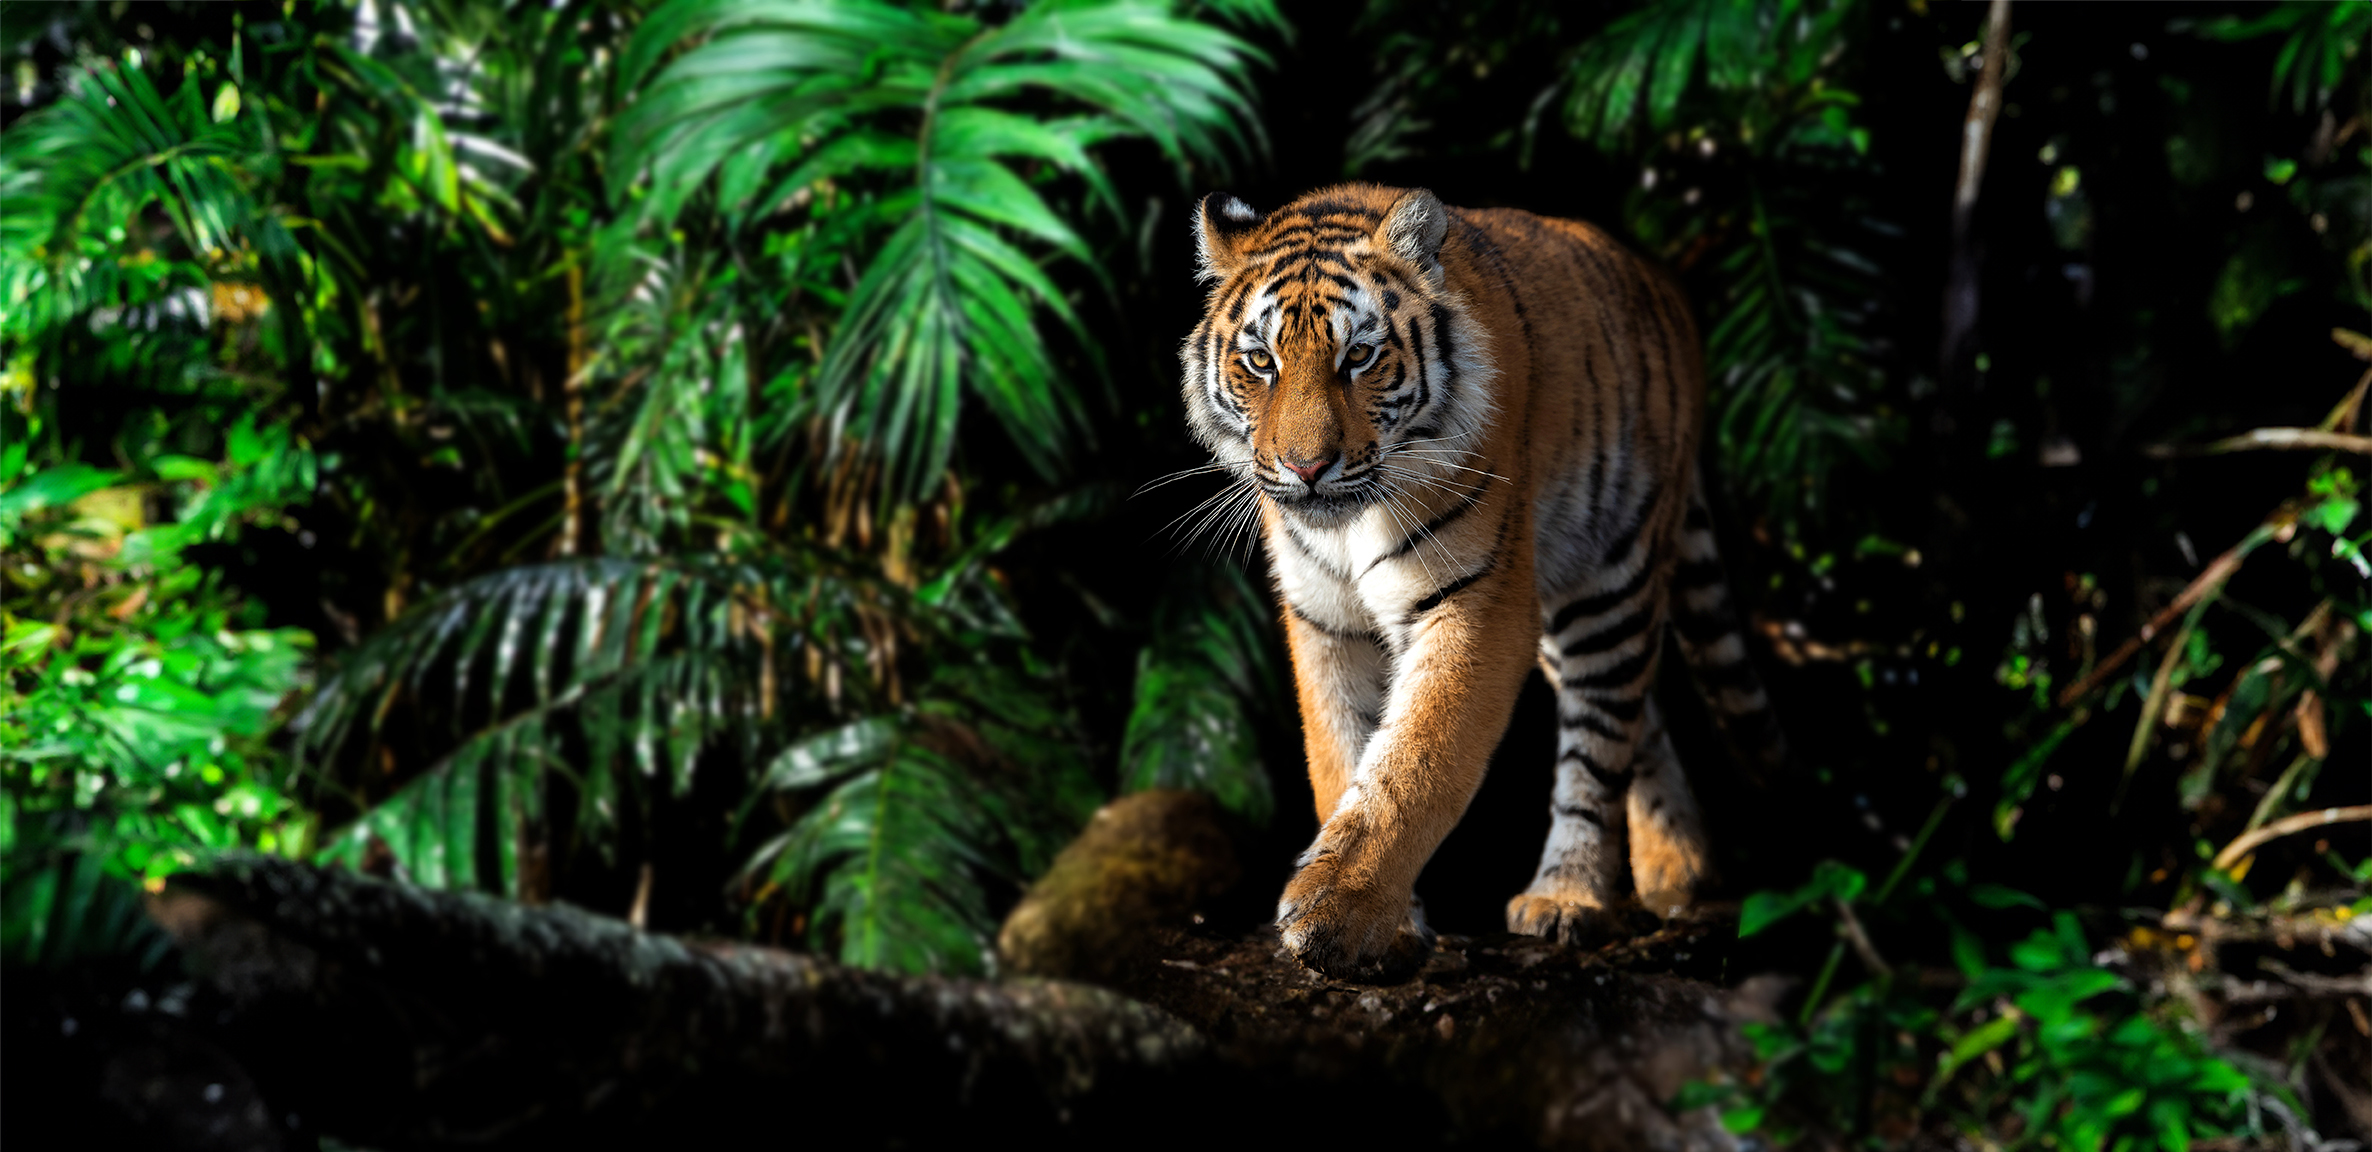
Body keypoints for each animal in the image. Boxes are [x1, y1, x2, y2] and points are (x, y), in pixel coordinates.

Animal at [1177, 183, 1786, 981]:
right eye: (1260, 361)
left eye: (1359, 356)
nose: (1305, 468)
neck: (1348, 524)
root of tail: (1663, 285)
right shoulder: (1324, 622)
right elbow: (1341, 757)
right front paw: (1388, 925)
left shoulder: (1478, 600)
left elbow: (1416, 762)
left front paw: (1338, 914)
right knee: (1639, 720)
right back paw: (1678, 870)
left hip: (1611, 580)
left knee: (1600, 740)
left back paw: (1568, 896)